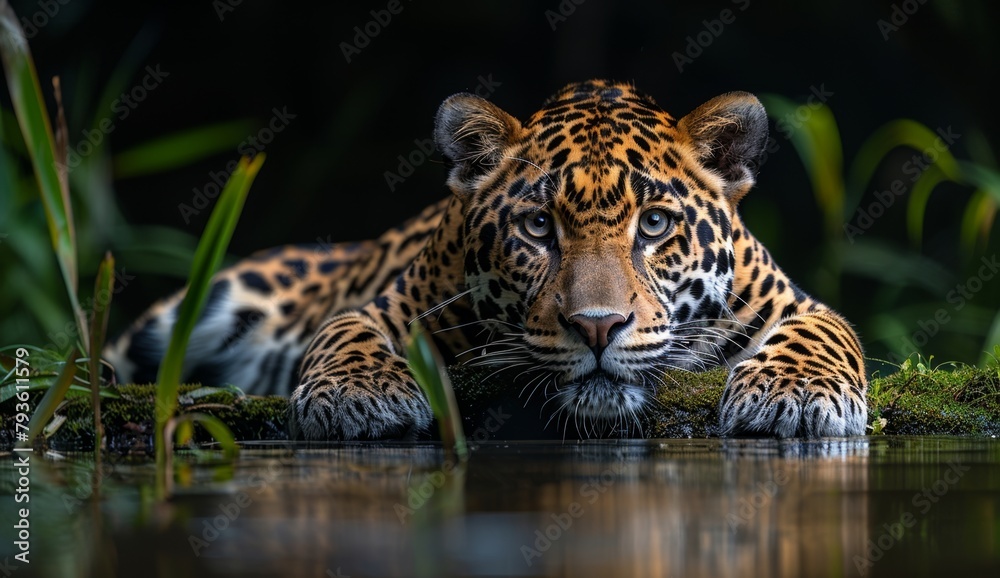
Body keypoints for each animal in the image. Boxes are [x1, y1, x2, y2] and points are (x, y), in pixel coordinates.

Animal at [104, 80, 868, 441]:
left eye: (654, 224)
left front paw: (794, 395)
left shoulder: (791, 302)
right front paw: (358, 396)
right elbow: (344, 334)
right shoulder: (393, 303)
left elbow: (826, 334)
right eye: (537, 226)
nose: (597, 327)